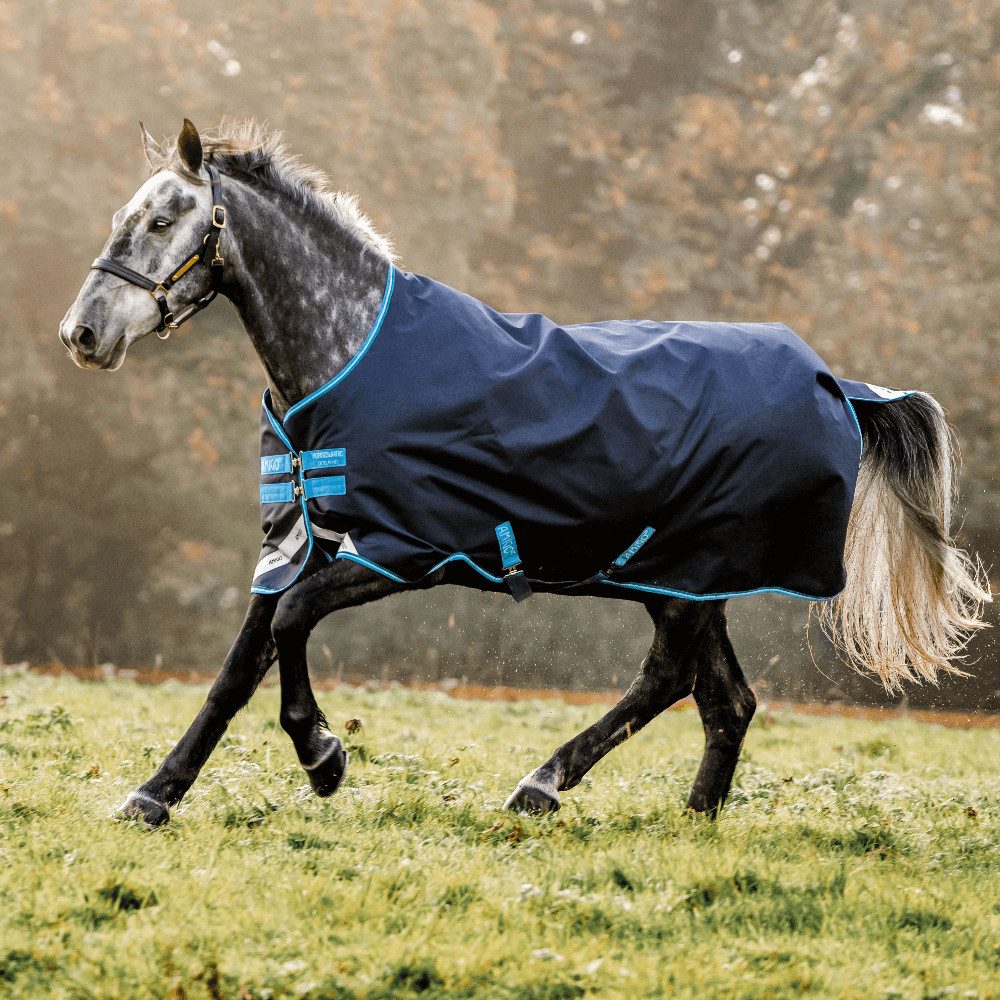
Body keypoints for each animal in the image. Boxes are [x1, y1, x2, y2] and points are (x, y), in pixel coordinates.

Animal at [59, 120, 990, 828]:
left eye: (164, 220)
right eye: (123, 215)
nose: (83, 333)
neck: (350, 354)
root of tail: (838, 383)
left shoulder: (399, 552)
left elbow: (289, 628)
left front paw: (325, 757)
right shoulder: (300, 544)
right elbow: (236, 670)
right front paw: (153, 795)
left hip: (685, 576)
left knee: (671, 681)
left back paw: (541, 786)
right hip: (688, 581)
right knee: (725, 700)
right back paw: (691, 817)